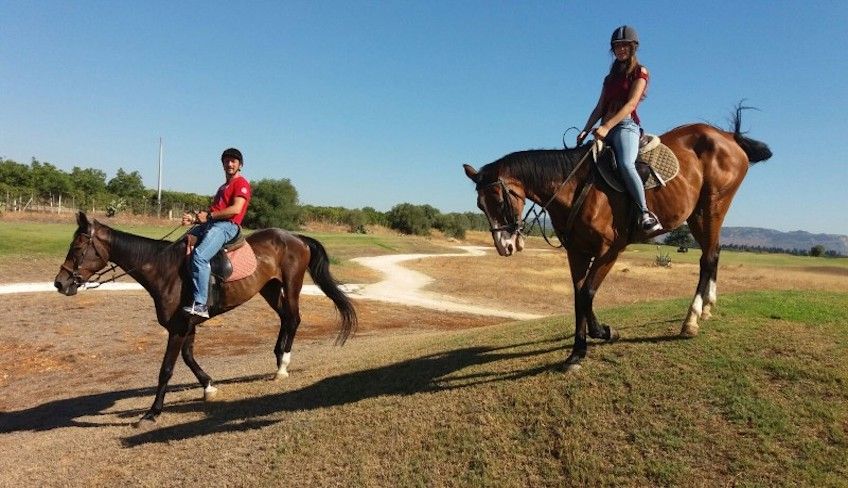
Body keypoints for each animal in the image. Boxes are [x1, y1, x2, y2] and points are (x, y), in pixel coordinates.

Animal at [52, 213, 358, 424]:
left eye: (77, 248)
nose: (60, 283)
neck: (164, 269)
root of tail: (297, 237)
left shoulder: (177, 328)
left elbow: (166, 369)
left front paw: (152, 412)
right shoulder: (188, 325)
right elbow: (189, 358)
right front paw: (209, 386)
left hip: (292, 284)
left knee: (293, 318)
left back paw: (283, 365)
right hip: (269, 288)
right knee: (284, 318)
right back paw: (277, 357)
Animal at [468, 107, 772, 370]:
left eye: (498, 200)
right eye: (480, 205)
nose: (504, 246)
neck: (575, 187)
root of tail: (728, 136)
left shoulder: (610, 250)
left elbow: (588, 293)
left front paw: (601, 333)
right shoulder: (577, 252)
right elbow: (579, 296)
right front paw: (579, 350)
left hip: (710, 208)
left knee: (708, 257)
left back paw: (692, 320)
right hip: (702, 214)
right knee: (714, 252)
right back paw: (707, 307)